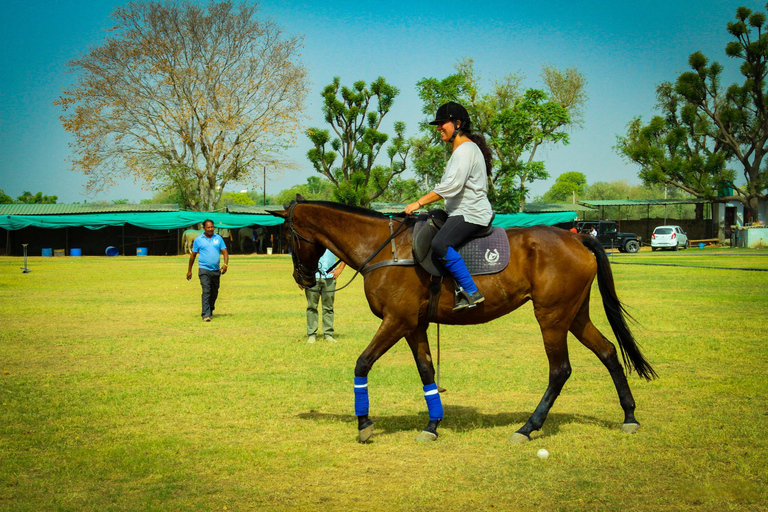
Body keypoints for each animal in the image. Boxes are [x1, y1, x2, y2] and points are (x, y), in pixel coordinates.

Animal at [272, 198, 656, 442]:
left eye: (287, 234)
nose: (302, 279)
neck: (383, 247)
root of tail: (579, 238)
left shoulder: (396, 321)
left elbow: (362, 363)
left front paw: (364, 424)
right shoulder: (414, 326)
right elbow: (427, 372)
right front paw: (432, 424)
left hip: (551, 318)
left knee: (560, 370)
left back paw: (528, 427)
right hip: (573, 314)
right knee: (608, 352)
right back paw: (630, 416)